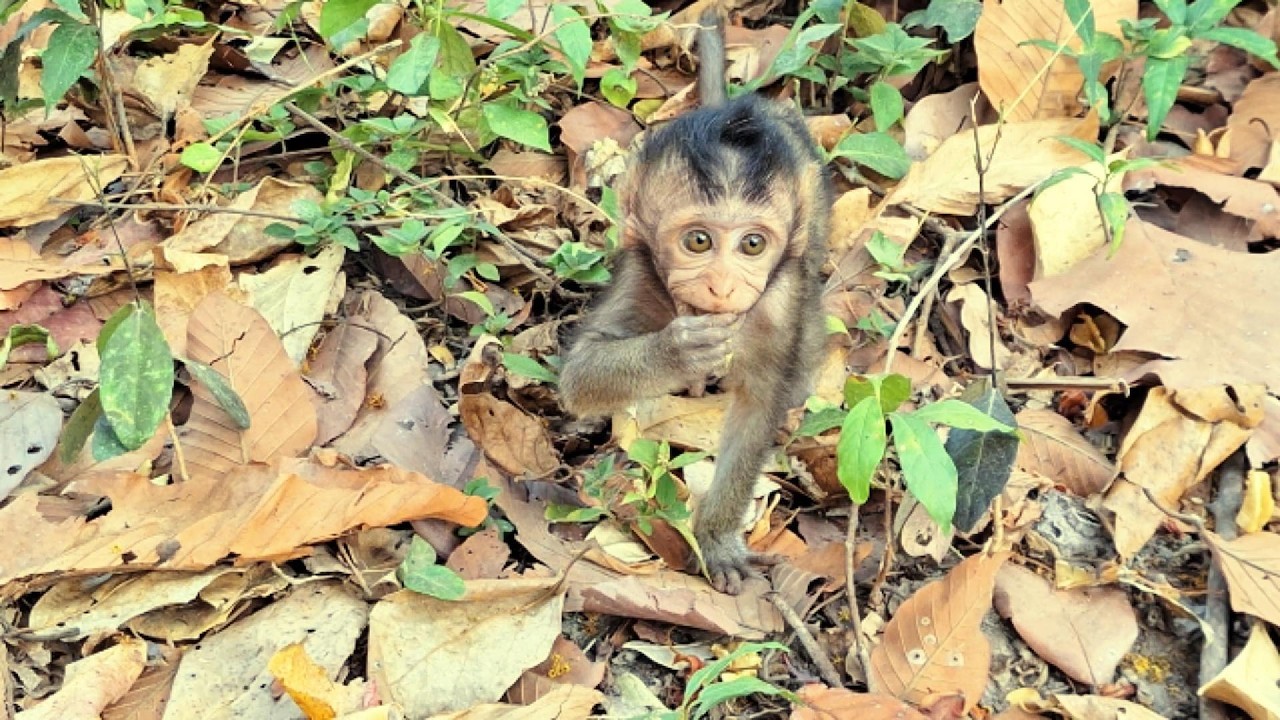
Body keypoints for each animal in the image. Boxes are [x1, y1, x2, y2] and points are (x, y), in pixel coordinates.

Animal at [558, 11, 831, 594]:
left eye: (752, 245)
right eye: (699, 241)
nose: (723, 287)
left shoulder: (777, 302)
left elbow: (760, 401)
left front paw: (716, 538)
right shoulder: (642, 276)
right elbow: (581, 373)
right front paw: (676, 353)